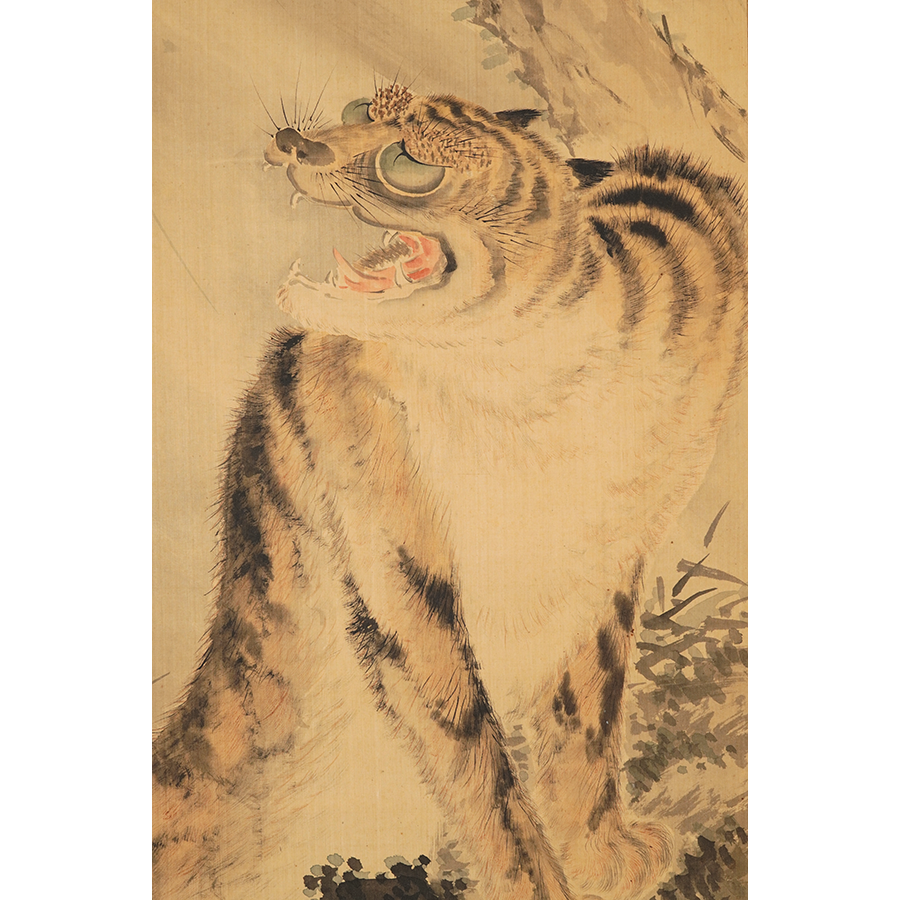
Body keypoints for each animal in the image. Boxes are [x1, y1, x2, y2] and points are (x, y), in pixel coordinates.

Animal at [152, 84, 747, 900]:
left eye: (409, 159)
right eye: (359, 107)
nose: (292, 141)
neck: (530, 397)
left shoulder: (614, 551)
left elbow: (589, 708)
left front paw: (599, 851)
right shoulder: (399, 554)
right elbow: (470, 742)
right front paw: (538, 878)